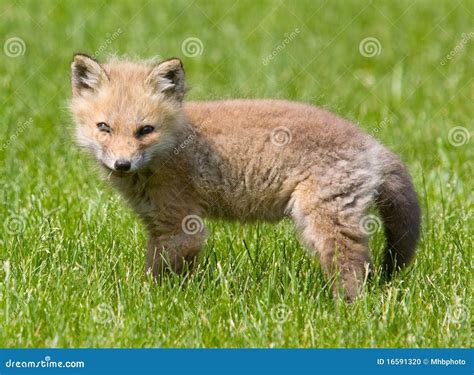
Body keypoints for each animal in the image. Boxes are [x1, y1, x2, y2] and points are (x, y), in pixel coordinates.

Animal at [69, 53, 418, 302]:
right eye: (104, 127)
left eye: (145, 130)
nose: (122, 164)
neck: (172, 145)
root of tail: (370, 141)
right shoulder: (159, 225)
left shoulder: (182, 226)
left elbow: (159, 273)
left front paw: (149, 299)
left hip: (324, 221)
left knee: (352, 266)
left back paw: (347, 309)